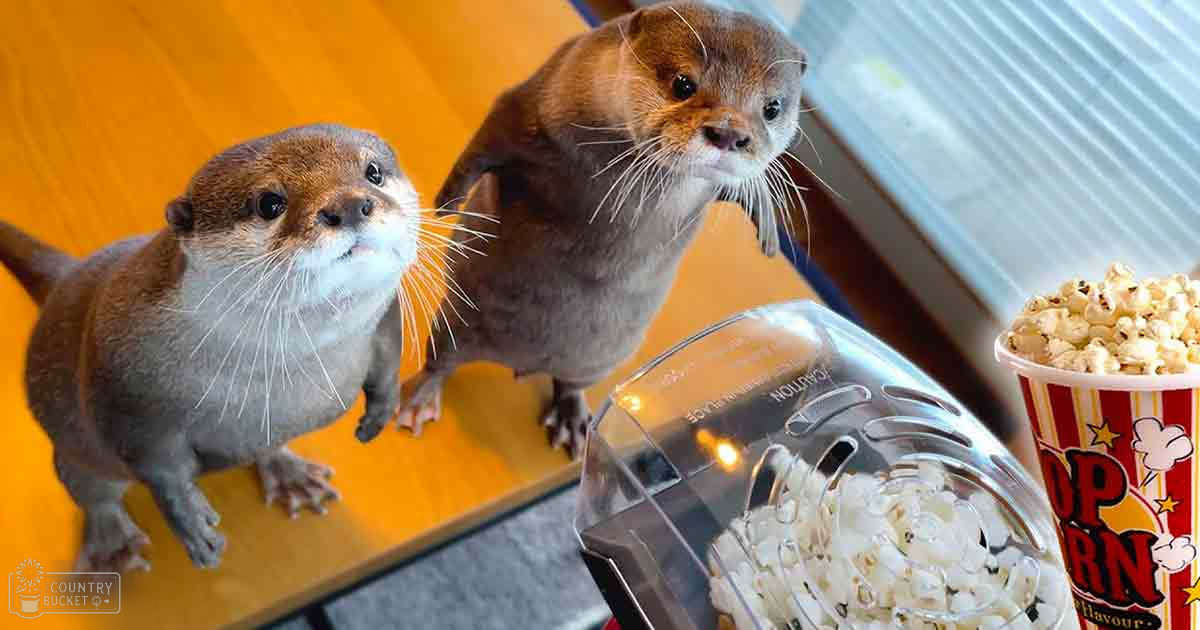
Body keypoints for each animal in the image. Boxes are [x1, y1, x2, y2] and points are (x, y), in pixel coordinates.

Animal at [0, 124, 420, 571]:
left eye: (373, 172)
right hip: (72, 446)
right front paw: (189, 521)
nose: (351, 204)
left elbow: (389, 351)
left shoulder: (384, 316)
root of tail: (68, 274)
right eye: (270, 202)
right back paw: (113, 547)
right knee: (90, 489)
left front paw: (383, 409)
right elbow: (154, 466)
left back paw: (291, 476)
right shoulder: (121, 388)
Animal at [355, 2, 808, 457]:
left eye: (772, 108)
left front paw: (770, 231)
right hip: (457, 321)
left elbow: (755, 183)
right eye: (683, 84)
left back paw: (573, 421)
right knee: (442, 360)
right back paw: (418, 400)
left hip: (602, 358)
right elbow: (484, 143)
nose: (730, 132)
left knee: (569, 384)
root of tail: (522, 363)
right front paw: (447, 201)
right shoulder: (531, 100)